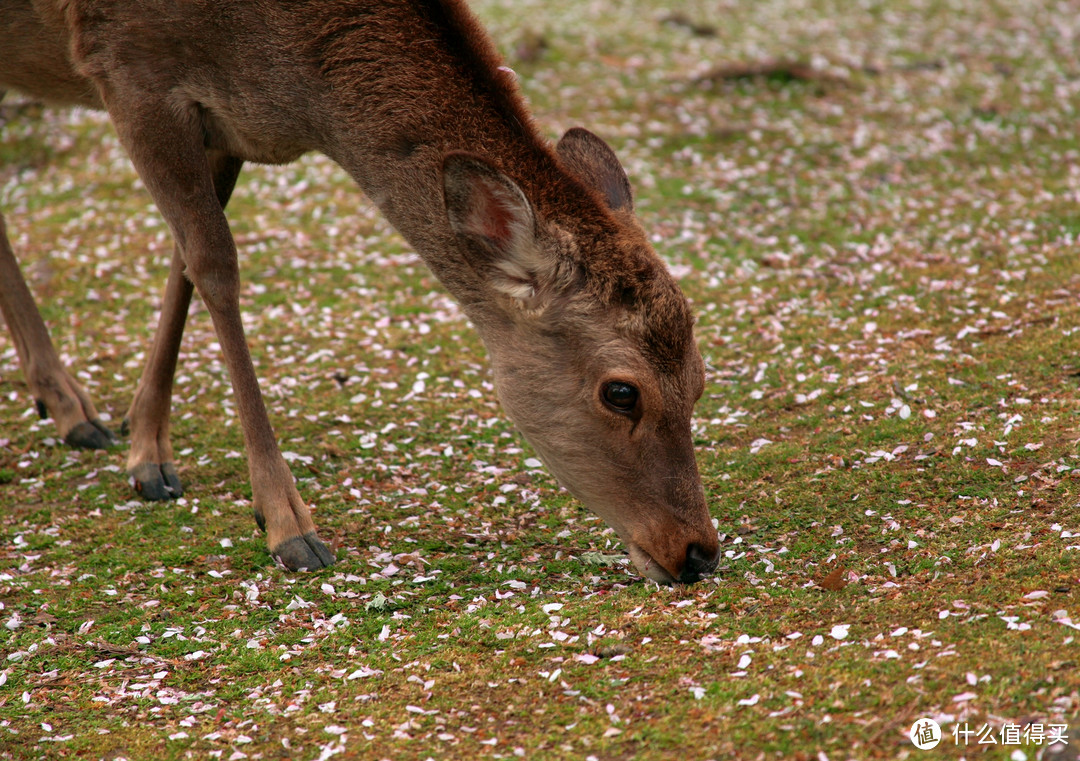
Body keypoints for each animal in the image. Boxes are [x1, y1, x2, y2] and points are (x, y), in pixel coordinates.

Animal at [2, 0, 725, 582]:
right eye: (621, 392)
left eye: (699, 377)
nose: (697, 551)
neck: (290, 88)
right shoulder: (127, 66)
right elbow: (215, 266)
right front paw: (285, 523)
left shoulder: (226, 126)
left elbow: (184, 260)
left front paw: (144, 442)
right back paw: (69, 403)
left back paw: (68, 406)